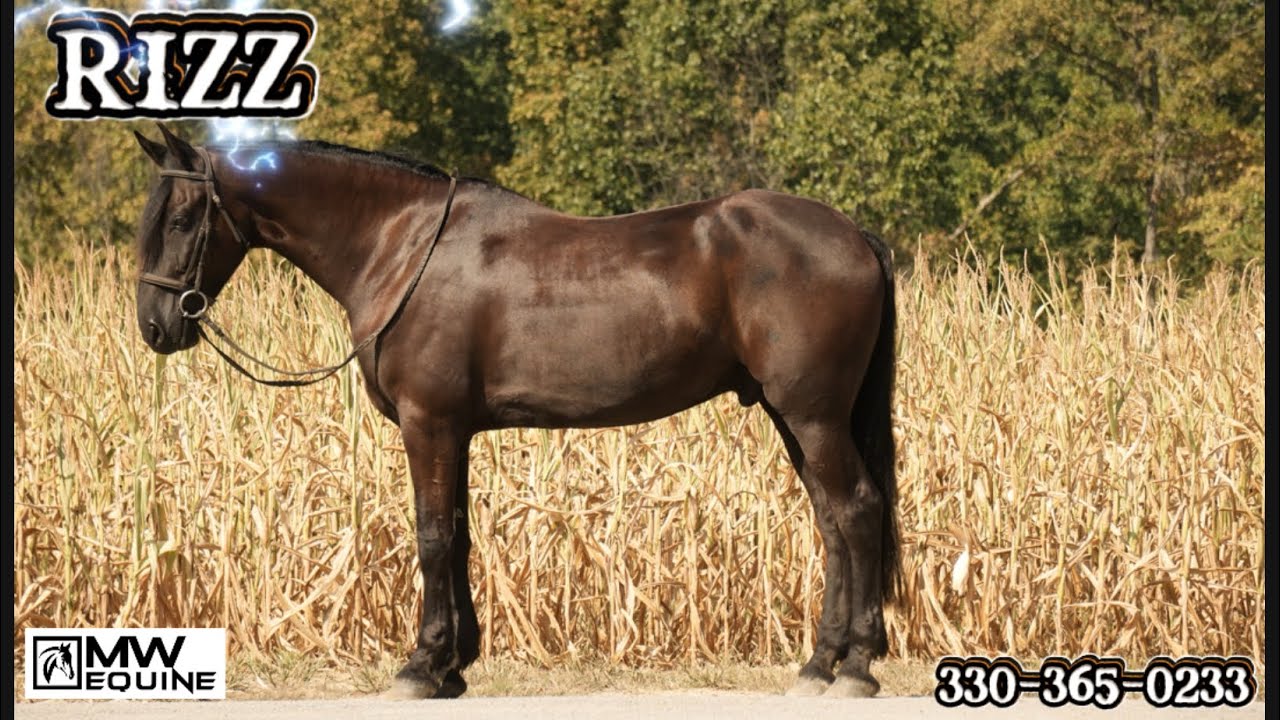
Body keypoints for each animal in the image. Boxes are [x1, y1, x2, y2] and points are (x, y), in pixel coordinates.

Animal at [131, 125, 900, 699]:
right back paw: (819, 664)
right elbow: (459, 536)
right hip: (793, 417)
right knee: (832, 522)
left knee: (857, 512)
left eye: (181, 218)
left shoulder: (429, 424)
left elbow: (432, 537)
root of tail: (853, 233)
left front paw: (422, 666)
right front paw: (455, 666)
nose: (155, 327)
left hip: (813, 416)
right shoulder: (456, 431)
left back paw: (858, 667)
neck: (401, 245)